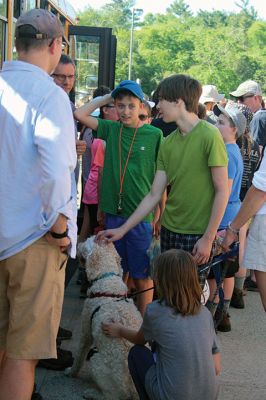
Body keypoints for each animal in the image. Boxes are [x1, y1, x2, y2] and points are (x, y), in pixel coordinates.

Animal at [67, 236, 142, 398]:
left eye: (86, 242)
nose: (77, 243)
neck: (107, 280)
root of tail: (134, 390)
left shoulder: (86, 333)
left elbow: (79, 356)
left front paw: (71, 372)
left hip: (96, 361)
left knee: (111, 396)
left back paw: (91, 393)